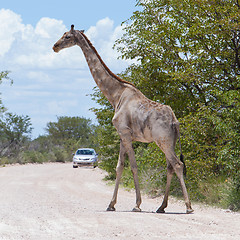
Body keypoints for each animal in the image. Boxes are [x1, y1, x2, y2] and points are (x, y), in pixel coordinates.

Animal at [52, 24, 193, 214]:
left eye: (67, 36)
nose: (55, 46)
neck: (115, 95)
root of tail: (175, 121)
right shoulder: (121, 135)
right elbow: (119, 167)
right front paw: (111, 204)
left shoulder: (125, 133)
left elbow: (133, 166)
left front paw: (137, 205)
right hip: (169, 141)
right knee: (170, 167)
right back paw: (161, 207)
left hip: (163, 141)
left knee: (177, 165)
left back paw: (188, 207)